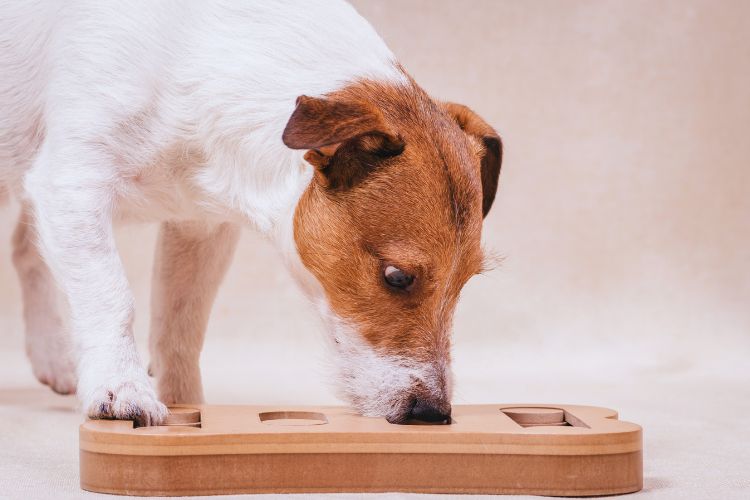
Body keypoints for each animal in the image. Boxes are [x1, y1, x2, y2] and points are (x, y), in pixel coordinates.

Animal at [1, 0, 506, 426]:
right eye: (396, 277)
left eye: (465, 282)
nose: (433, 413)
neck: (203, 55)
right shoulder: (73, 186)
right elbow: (112, 295)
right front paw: (121, 387)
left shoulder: (200, 228)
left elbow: (181, 323)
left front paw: (188, 406)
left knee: (26, 247)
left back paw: (52, 355)